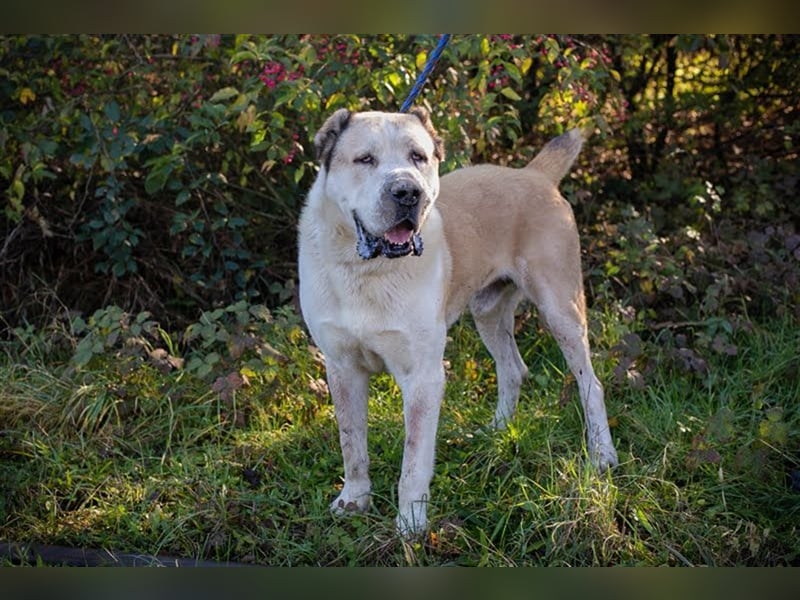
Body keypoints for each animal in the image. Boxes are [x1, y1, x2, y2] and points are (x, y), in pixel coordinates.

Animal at [298, 106, 620, 536]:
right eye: (364, 159)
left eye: (418, 156)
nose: (408, 193)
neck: (368, 271)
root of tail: (533, 174)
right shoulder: (342, 368)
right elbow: (352, 443)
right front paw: (354, 499)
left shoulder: (423, 377)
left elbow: (414, 459)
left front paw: (411, 523)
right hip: (487, 312)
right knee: (513, 368)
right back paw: (496, 431)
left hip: (561, 308)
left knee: (591, 384)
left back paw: (602, 454)